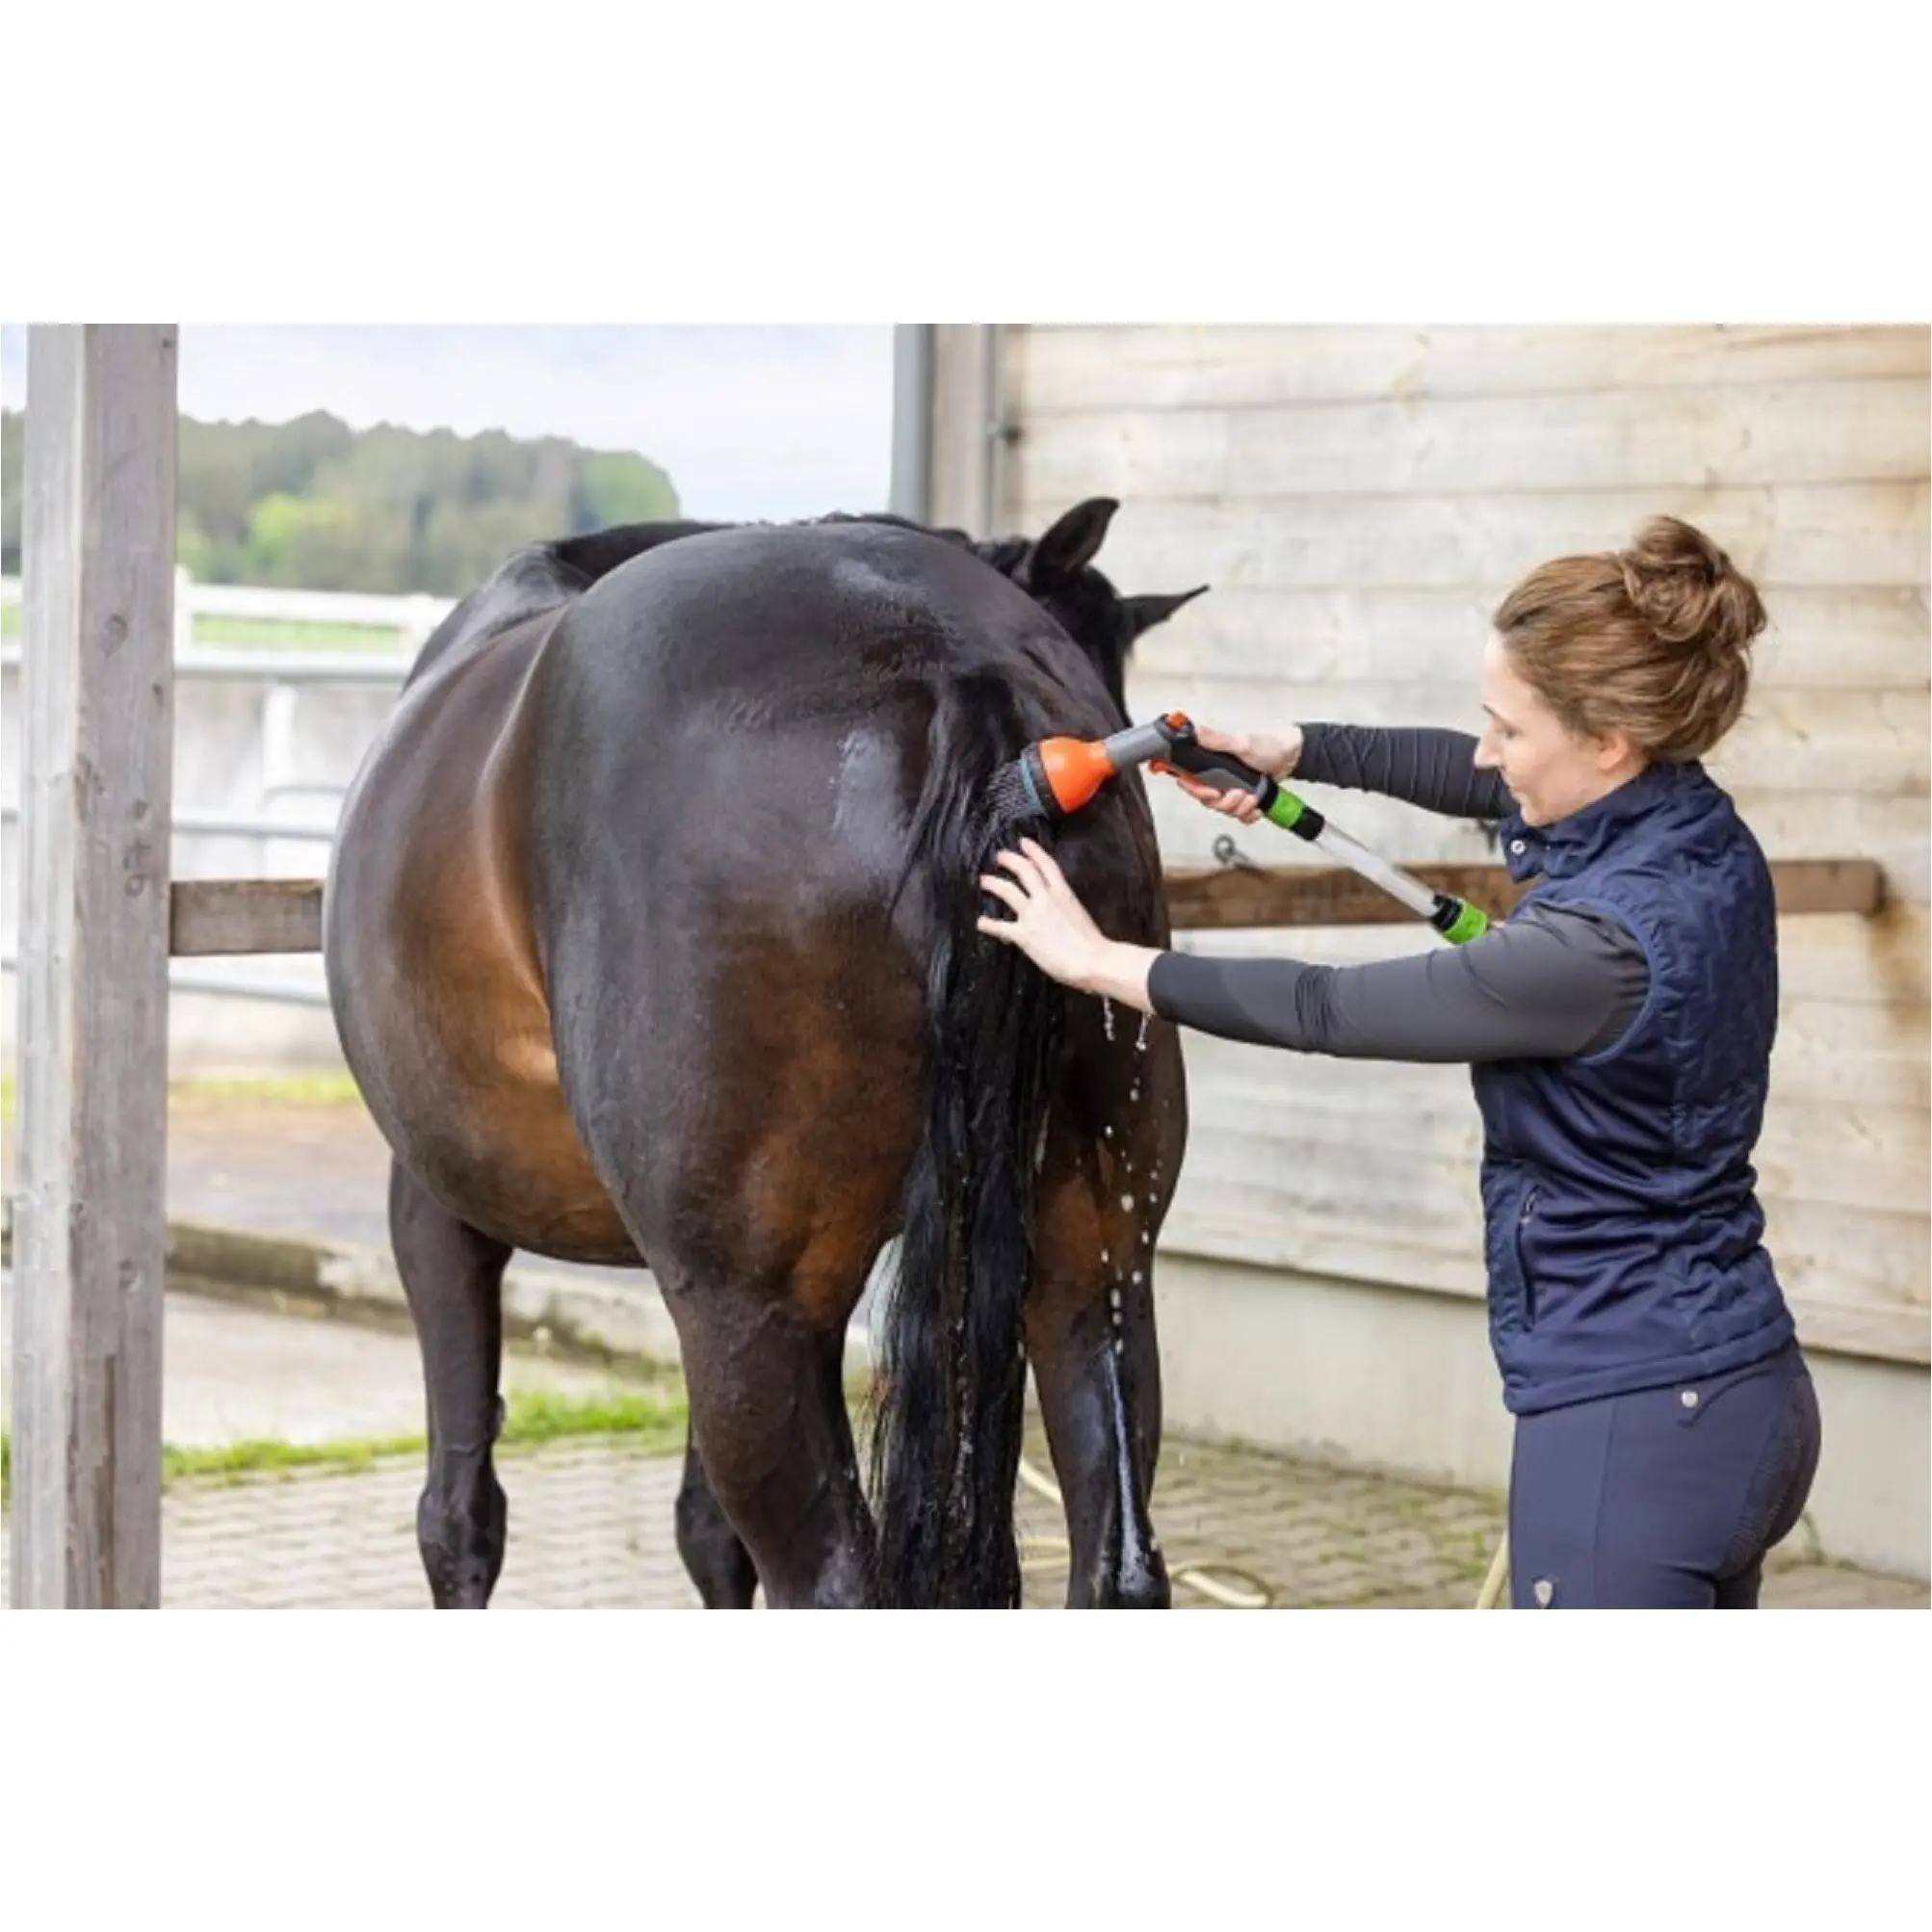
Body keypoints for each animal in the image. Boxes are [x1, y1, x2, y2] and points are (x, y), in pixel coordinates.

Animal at [326, 494, 1205, 1599]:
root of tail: (957, 667)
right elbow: (705, 1531)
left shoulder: (439, 1209)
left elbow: (460, 1516)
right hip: (1097, 1271)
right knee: (1119, 1556)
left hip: (745, 1317)